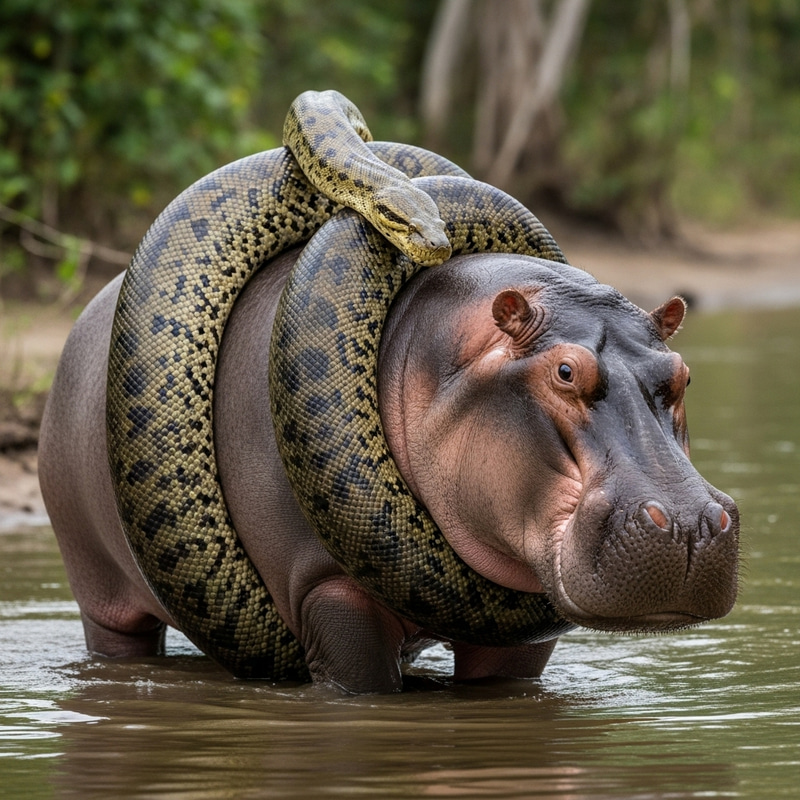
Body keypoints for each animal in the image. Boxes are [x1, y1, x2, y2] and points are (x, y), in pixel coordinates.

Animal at [38, 248, 740, 693]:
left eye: (681, 375)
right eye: (564, 371)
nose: (689, 525)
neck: (427, 352)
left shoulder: (519, 642)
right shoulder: (329, 591)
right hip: (98, 588)